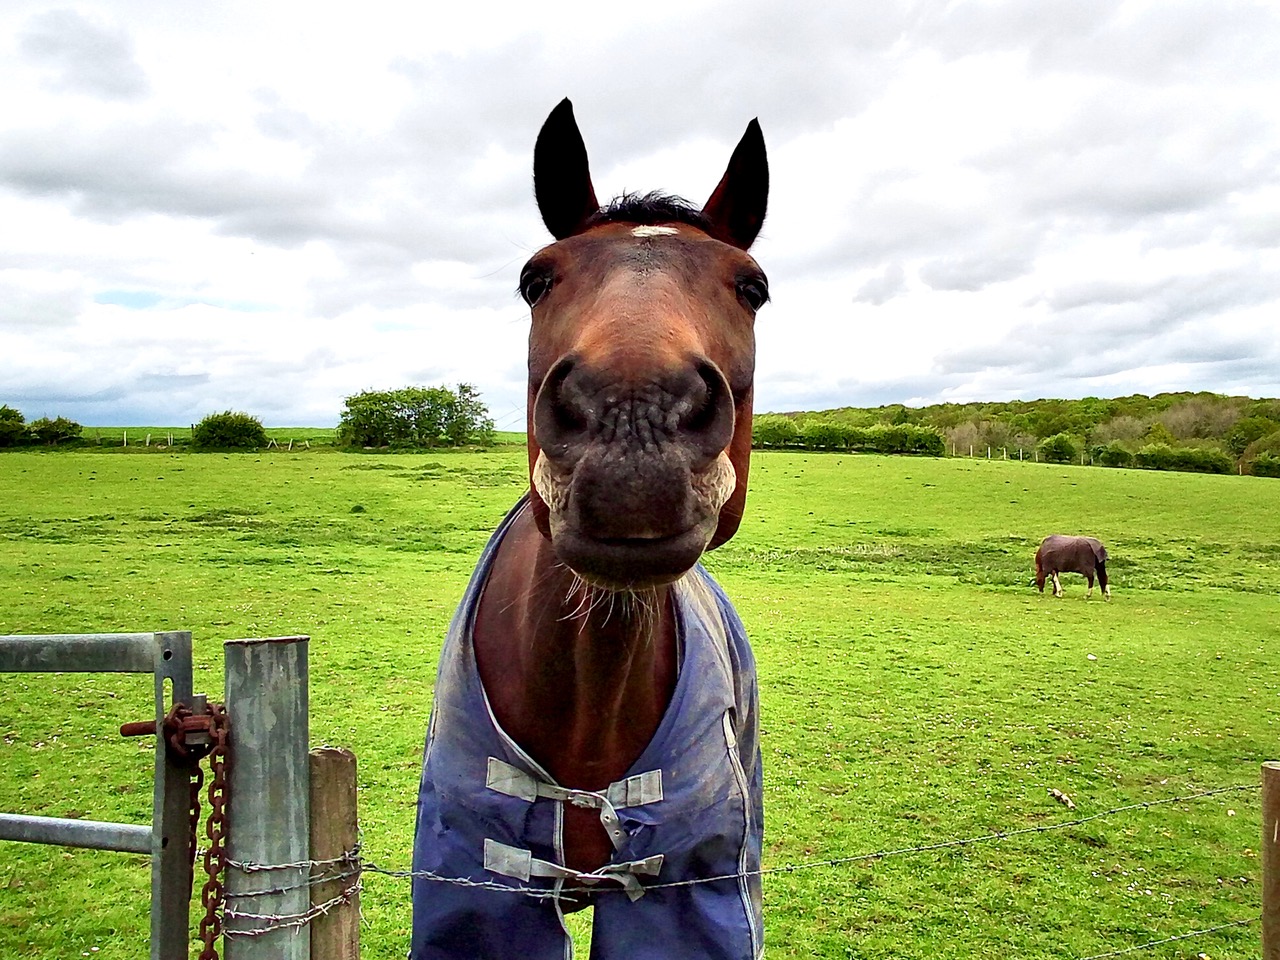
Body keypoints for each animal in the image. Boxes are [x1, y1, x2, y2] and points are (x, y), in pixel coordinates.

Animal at [410, 99, 769, 960]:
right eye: (535, 279)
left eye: (753, 289)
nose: (632, 421)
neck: (585, 698)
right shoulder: (474, 890)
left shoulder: (688, 897)